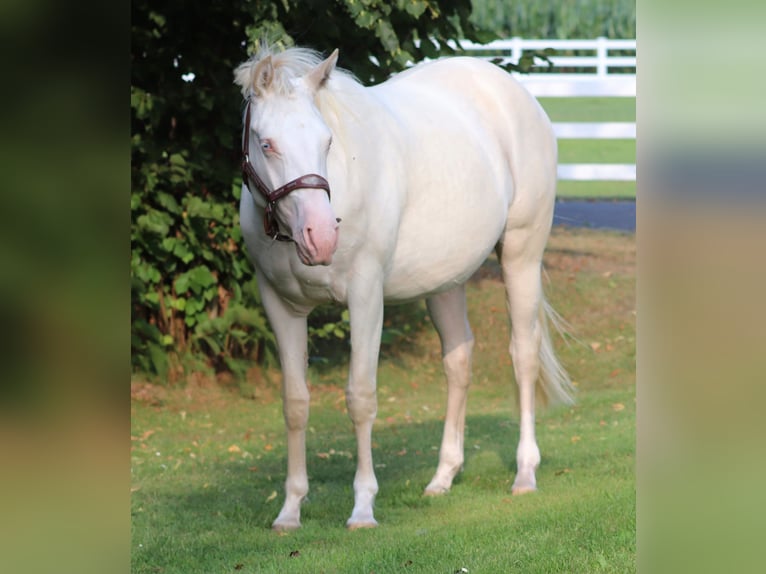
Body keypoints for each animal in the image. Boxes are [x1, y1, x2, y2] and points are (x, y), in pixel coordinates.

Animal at [233, 45, 574, 530]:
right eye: (267, 143)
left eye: (326, 142)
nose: (322, 237)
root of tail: (516, 94)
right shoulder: (281, 307)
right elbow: (295, 404)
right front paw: (290, 510)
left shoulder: (365, 299)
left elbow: (360, 398)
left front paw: (362, 508)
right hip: (446, 281)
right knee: (458, 361)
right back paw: (443, 477)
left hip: (521, 255)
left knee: (523, 356)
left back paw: (525, 473)